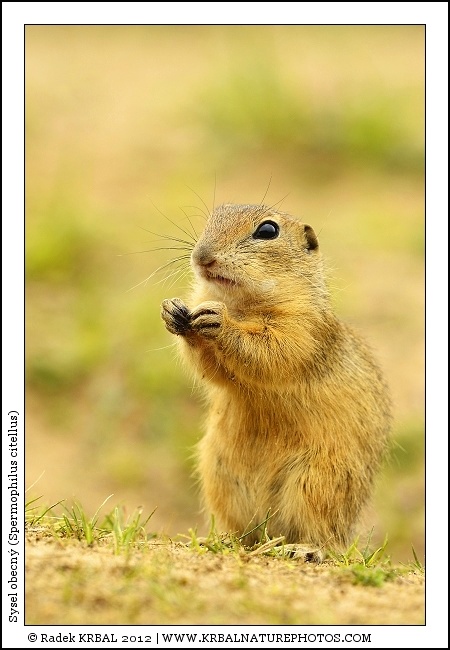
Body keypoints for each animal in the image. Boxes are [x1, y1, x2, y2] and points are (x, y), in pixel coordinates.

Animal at [161, 203, 392, 560]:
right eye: (214, 216)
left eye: (268, 231)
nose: (201, 257)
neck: (241, 305)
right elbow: (211, 369)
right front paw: (173, 311)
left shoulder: (302, 329)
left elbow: (269, 351)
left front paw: (219, 322)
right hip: (219, 476)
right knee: (247, 534)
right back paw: (221, 540)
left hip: (317, 482)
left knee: (325, 536)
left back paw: (305, 549)